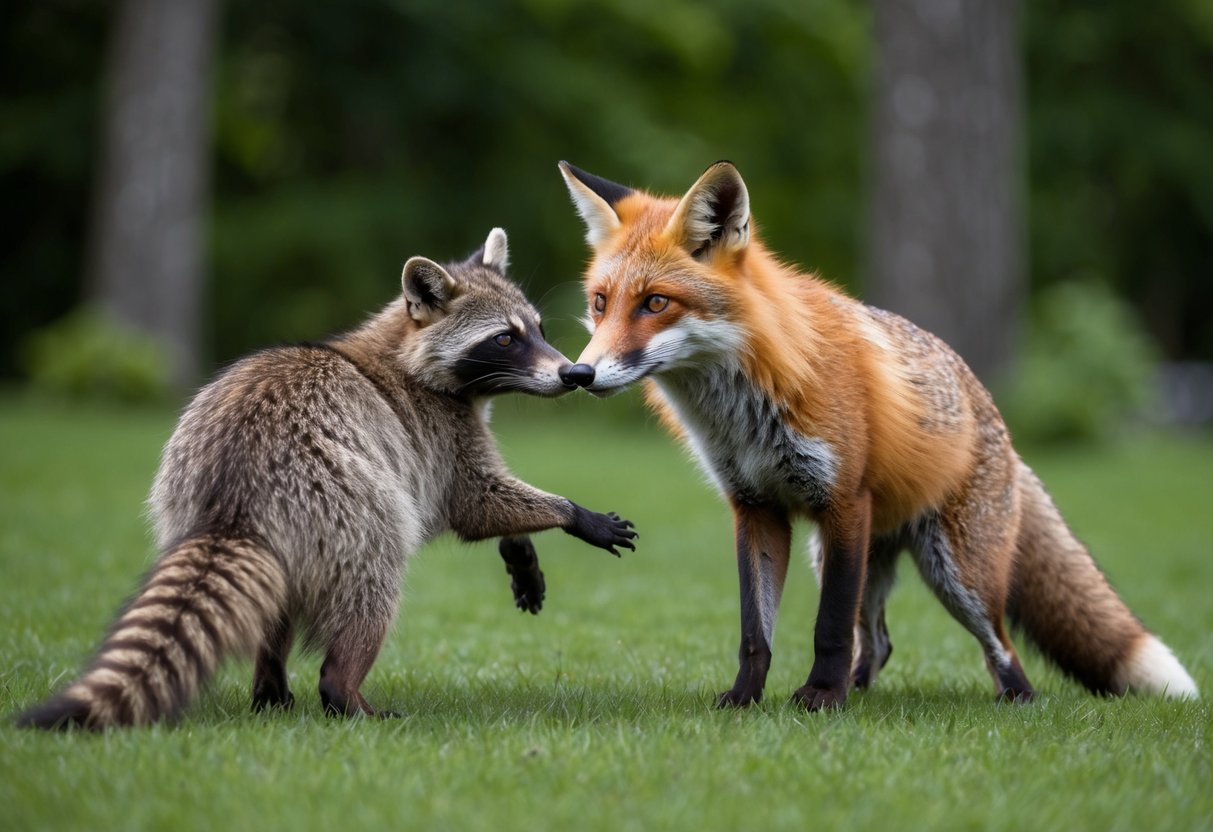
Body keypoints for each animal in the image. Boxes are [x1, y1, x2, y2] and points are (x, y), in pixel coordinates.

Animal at [18, 227, 636, 730]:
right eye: (506, 339)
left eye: (537, 329)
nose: (573, 373)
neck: (405, 352)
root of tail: (233, 500)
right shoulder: (439, 436)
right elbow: (474, 500)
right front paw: (569, 512)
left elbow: (488, 504)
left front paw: (521, 547)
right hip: (347, 510)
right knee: (373, 587)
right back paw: (344, 691)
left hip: (204, 503)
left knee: (268, 607)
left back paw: (270, 685)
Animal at [557, 160, 1198, 710]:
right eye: (601, 303)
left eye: (655, 303)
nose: (578, 374)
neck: (745, 410)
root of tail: (999, 425)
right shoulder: (756, 507)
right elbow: (755, 631)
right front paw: (745, 699)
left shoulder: (843, 500)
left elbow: (828, 627)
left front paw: (821, 699)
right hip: (854, 554)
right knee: (881, 641)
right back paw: (863, 691)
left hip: (955, 574)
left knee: (1003, 649)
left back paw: (1010, 701)